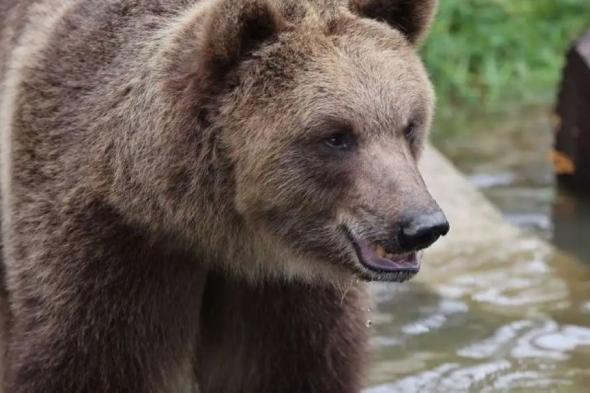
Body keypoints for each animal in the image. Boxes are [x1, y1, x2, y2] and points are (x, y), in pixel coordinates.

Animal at [0, 0, 448, 392]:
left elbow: (291, 369)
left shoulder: (286, 294)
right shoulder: (106, 244)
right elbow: (88, 361)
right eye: (337, 136)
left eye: (408, 125)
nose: (421, 225)